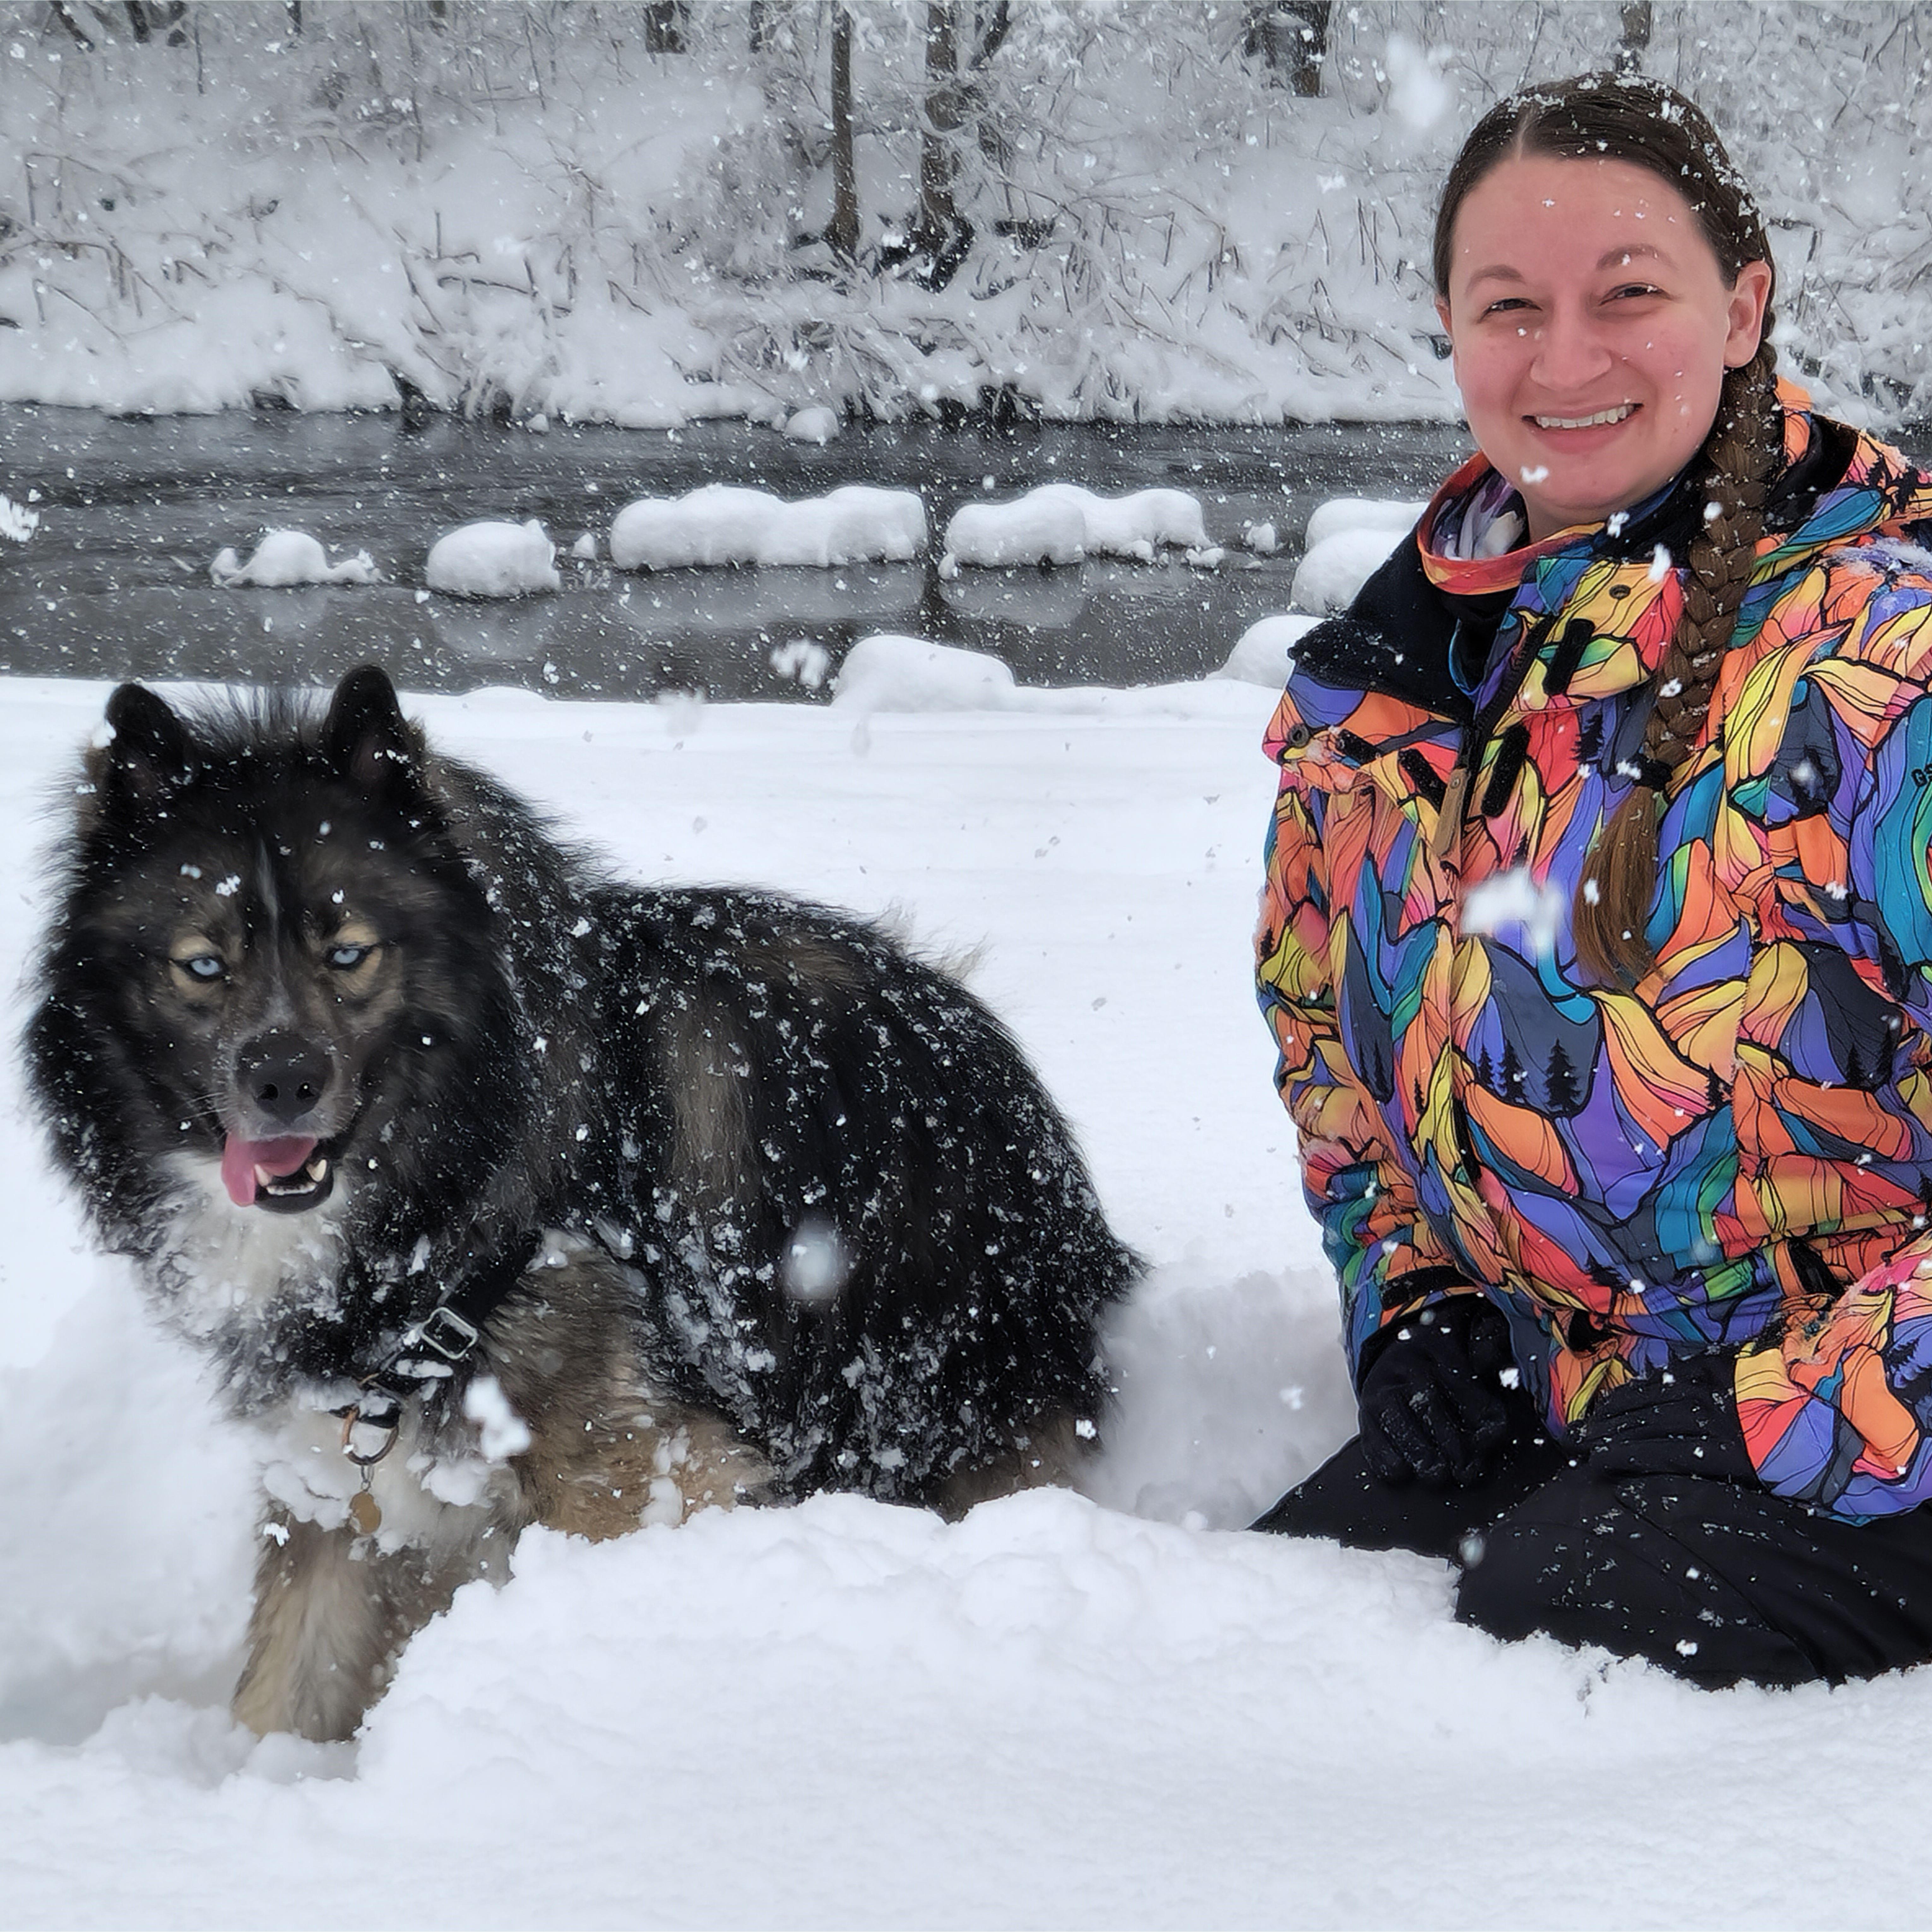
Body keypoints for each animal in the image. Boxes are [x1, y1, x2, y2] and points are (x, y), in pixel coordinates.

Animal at [26, 672, 1128, 1746]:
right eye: (202, 965)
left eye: (350, 952)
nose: (283, 1081)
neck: (447, 1195)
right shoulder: (336, 1484)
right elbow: (284, 1692)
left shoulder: (629, 1474)